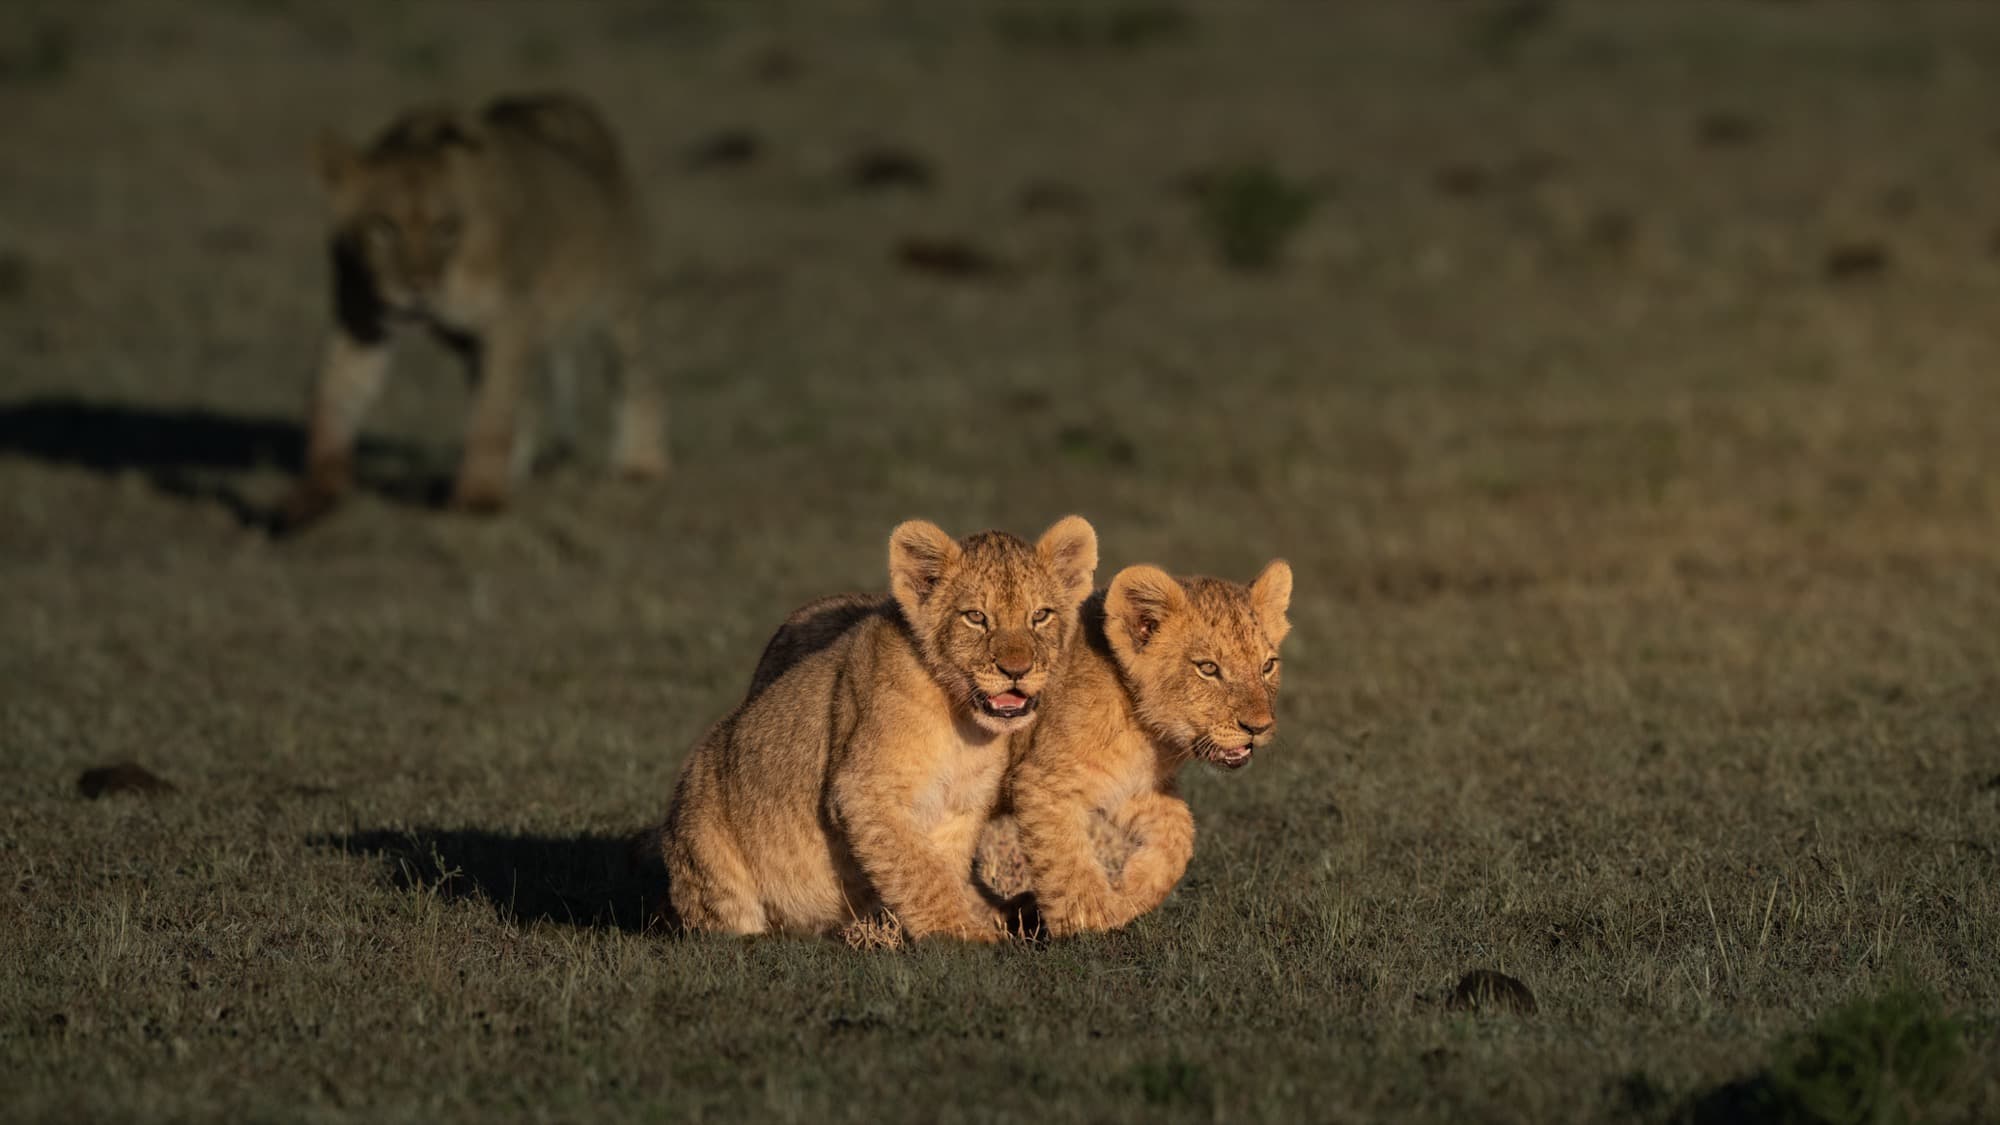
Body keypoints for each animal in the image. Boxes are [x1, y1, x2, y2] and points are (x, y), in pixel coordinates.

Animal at [282, 91, 666, 528]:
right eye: (384, 226)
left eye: (445, 227)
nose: (418, 288)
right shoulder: (358, 318)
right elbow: (333, 394)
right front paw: (314, 494)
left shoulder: (510, 319)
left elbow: (491, 416)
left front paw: (479, 499)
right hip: (469, 344)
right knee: (523, 400)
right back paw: (516, 470)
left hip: (622, 301)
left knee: (639, 378)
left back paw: (641, 466)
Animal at [658, 516, 1099, 941]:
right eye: (976, 617)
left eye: (1040, 615)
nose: (1016, 670)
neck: (961, 722)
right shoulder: (863, 790)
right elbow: (919, 870)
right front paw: (963, 936)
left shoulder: (961, 804)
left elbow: (939, 870)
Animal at [982, 560, 1293, 936]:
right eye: (1208, 668)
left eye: (1268, 666)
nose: (1258, 728)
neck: (1145, 731)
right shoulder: (1041, 782)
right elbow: (1065, 863)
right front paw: (1087, 926)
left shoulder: (1130, 783)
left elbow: (1180, 830)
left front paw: (1132, 886)